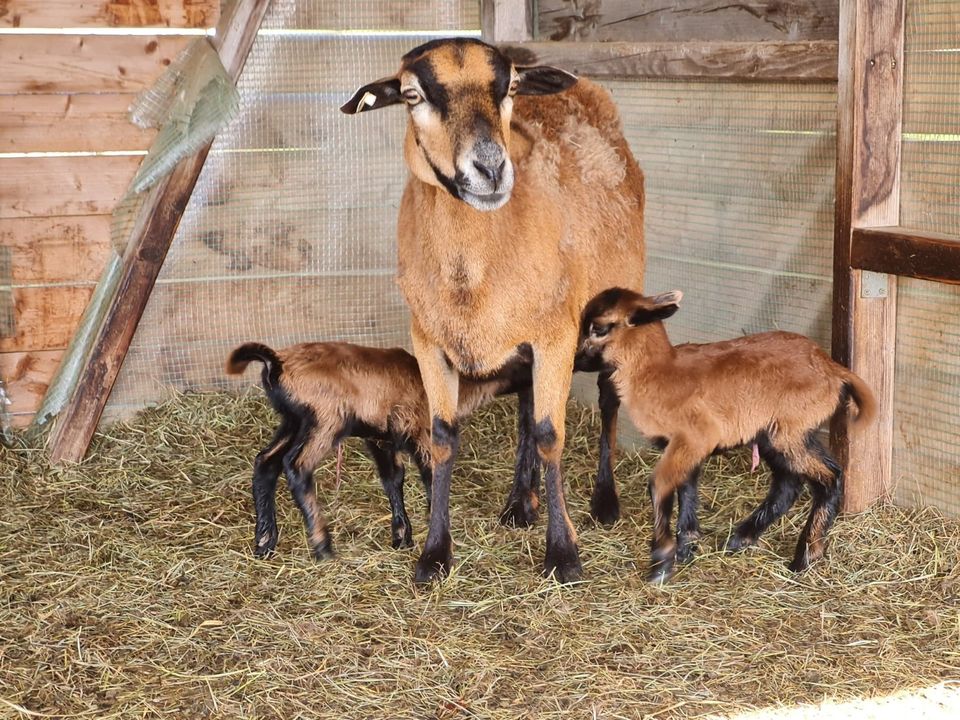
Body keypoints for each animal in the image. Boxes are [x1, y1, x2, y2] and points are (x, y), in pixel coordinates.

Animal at [340, 36, 644, 584]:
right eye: (412, 95)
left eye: (511, 89)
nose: (491, 169)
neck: (473, 273)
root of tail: (588, 90)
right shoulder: (428, 339)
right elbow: (443, 437)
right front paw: (434, 554)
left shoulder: (555, 336)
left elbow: (550, 435)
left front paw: (563, 555)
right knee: (524, 406)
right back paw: (520, 502)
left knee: (608, 398)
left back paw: (604, 502)